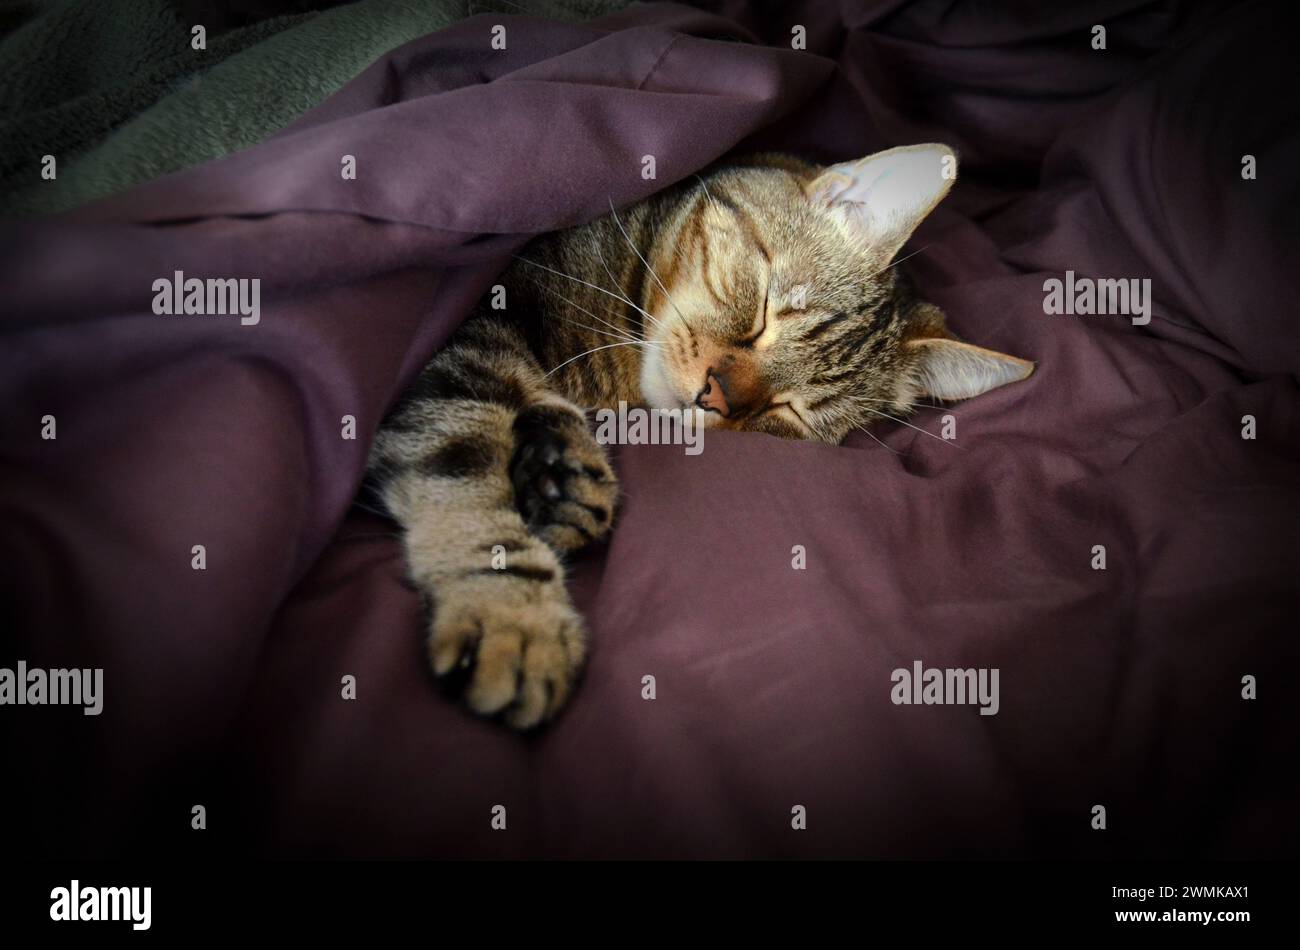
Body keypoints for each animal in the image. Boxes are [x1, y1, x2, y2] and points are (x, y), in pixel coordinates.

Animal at [369, 146, 1034, 727]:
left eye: (790, 412)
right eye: (764, 312)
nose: (714, 396)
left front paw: (567, 480)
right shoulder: (478, 329)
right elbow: (464, 466)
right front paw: (512, 615)